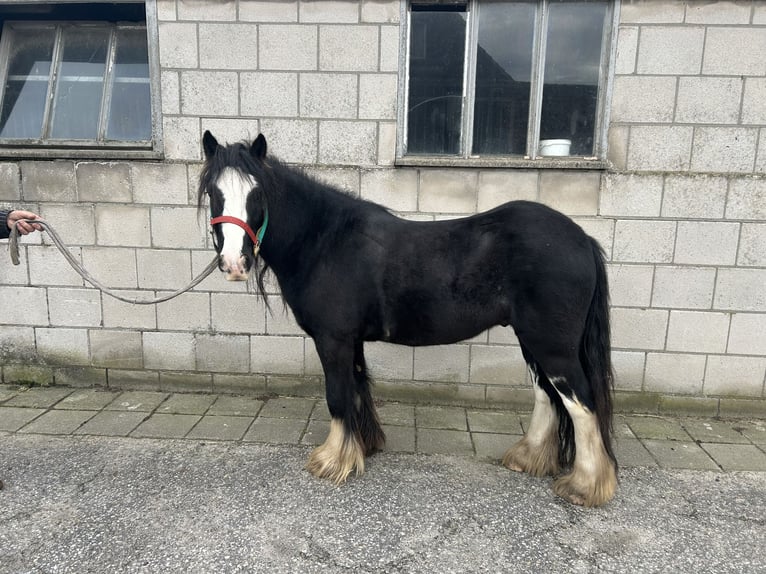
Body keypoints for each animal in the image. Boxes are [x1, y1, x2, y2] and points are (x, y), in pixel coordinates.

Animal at [198, 131, 618, 507]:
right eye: (214, 194)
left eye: (257, 194)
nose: (234, 264)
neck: (324, 240)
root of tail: (583, 239)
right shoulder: (351, 340)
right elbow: (357, 389)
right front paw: (363, 447)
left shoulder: (333, 339)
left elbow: (337, 395)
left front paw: (332, 461)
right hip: (531, 340)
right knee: (547, 394)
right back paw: (528, 458)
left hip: (552, 345)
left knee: (581, 404)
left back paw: (585, 486)